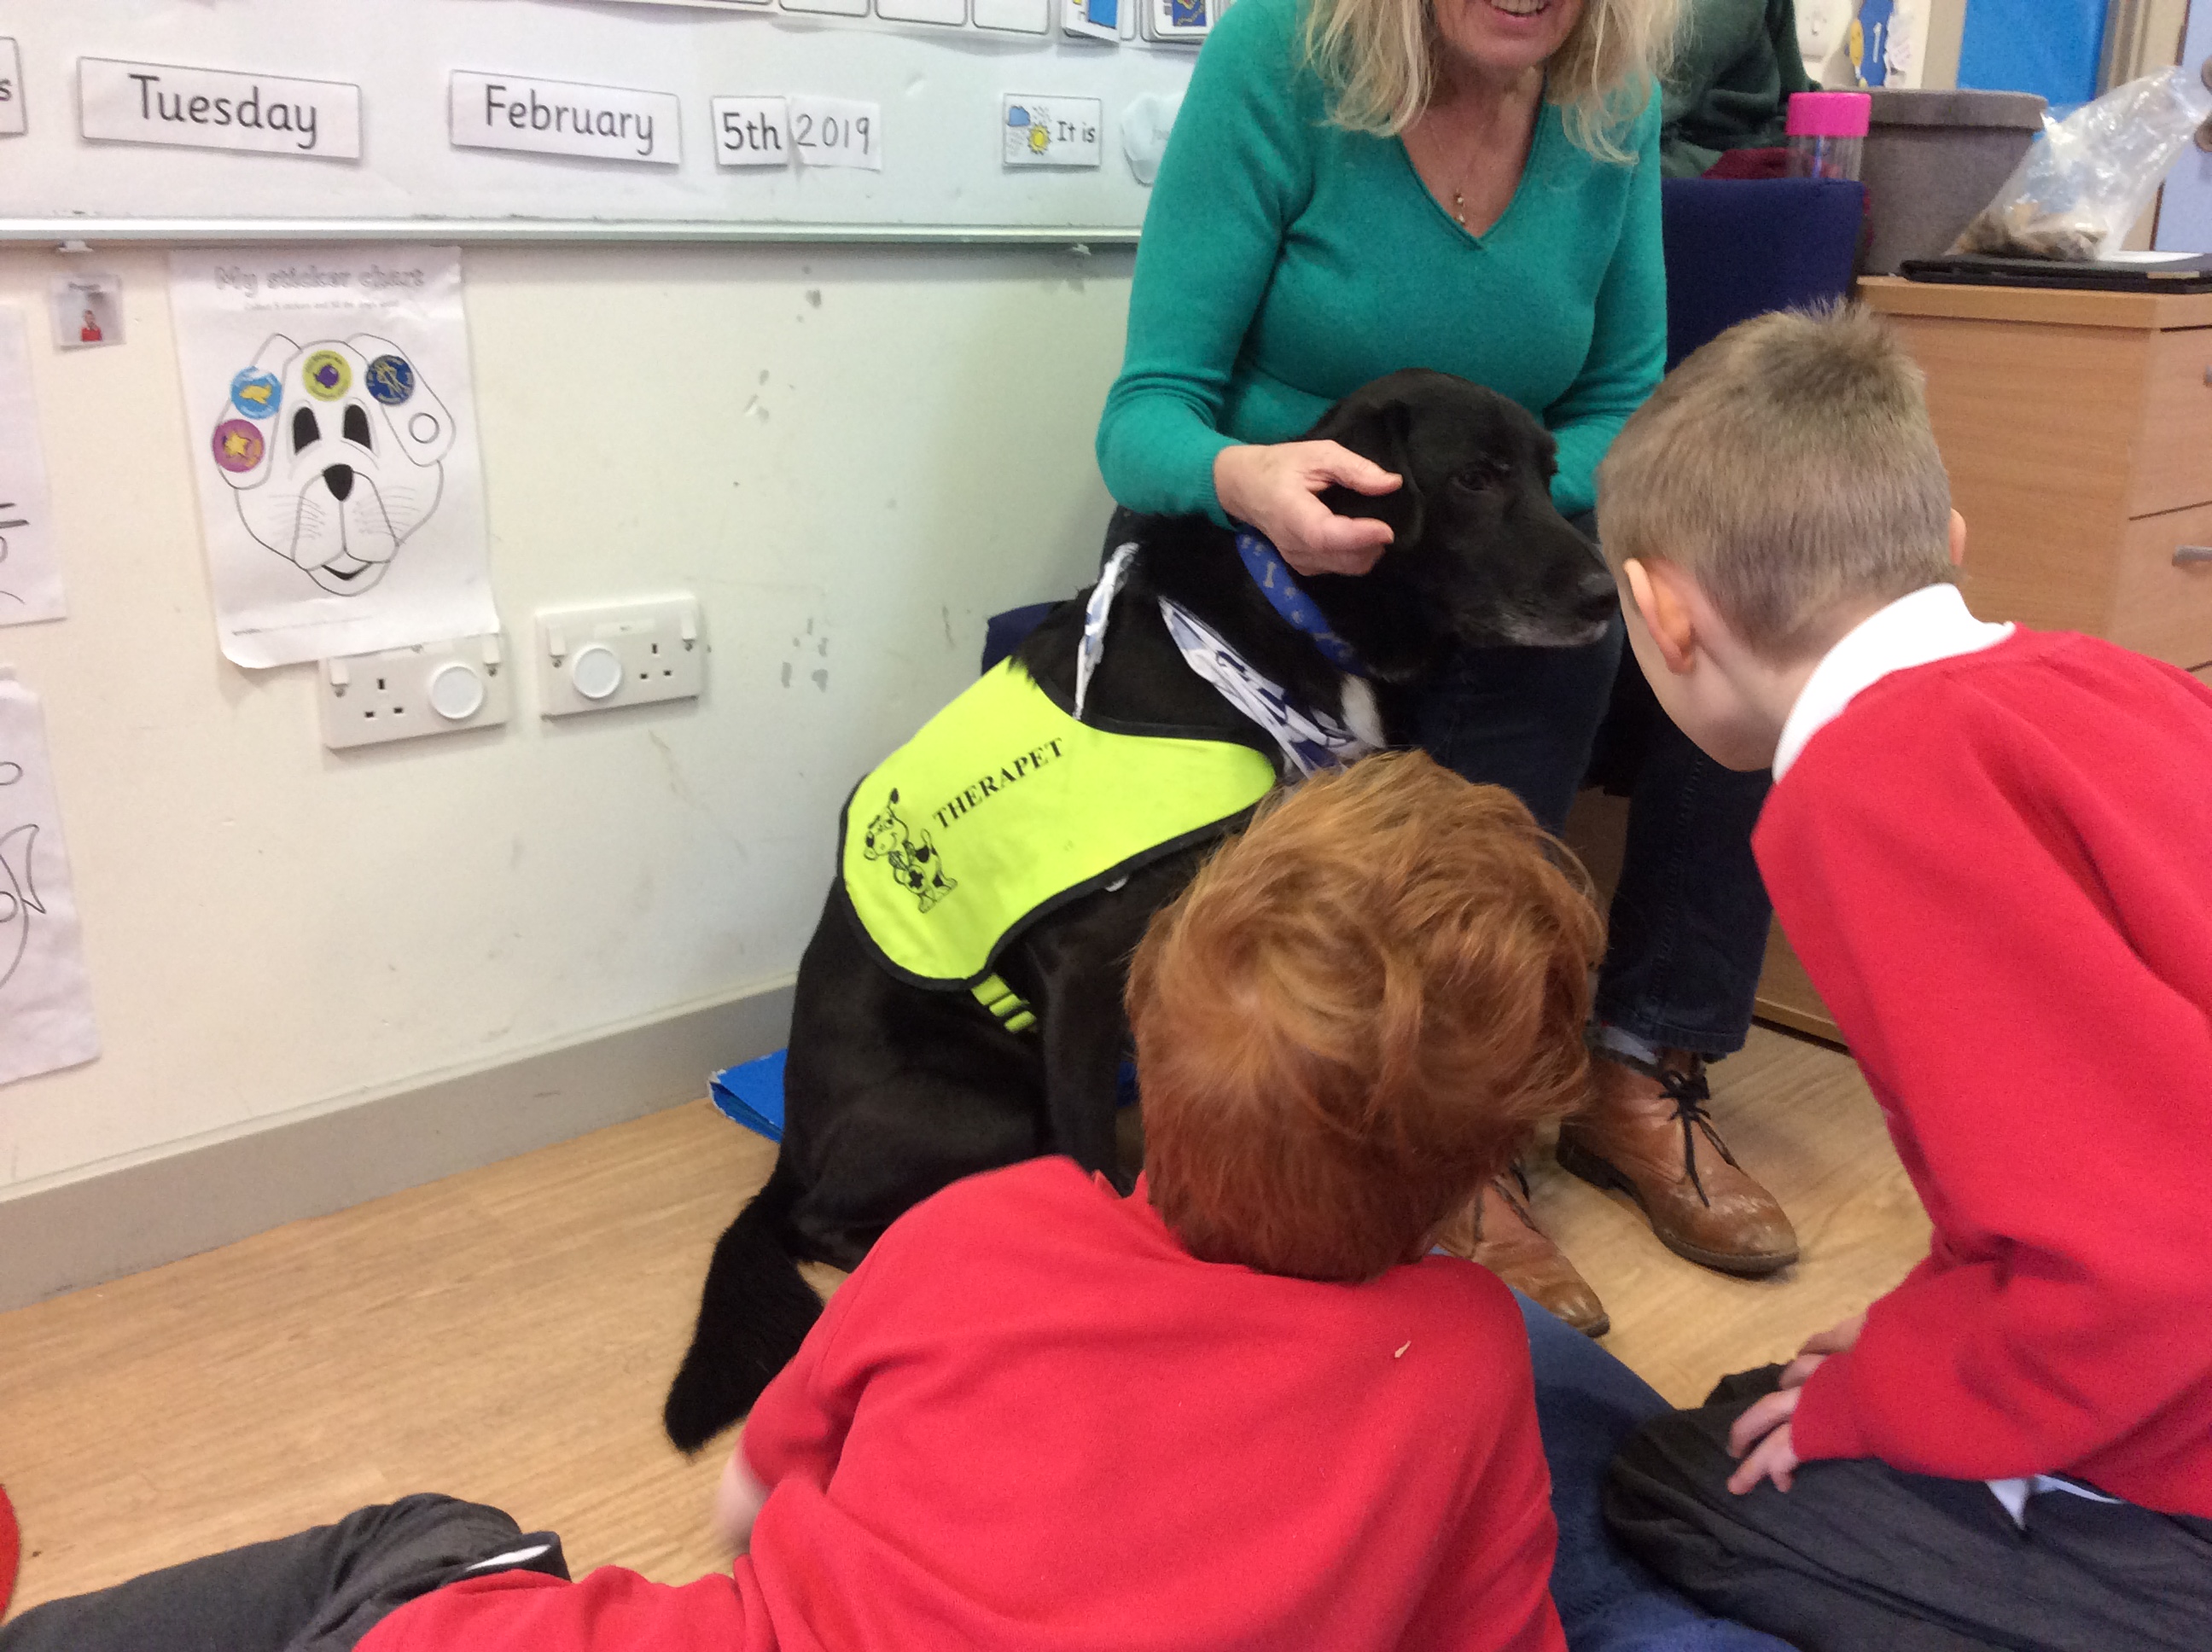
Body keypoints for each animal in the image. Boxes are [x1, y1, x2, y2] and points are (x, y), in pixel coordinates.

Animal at [661, 369, 1619, 1452]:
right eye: (1476, 478)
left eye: (1548, 470)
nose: (1607, 595)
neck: (1280, 625)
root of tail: (786, 1154)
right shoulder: (1085, 973)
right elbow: (1089, 1166)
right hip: (983, 1105)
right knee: (832, 1217)